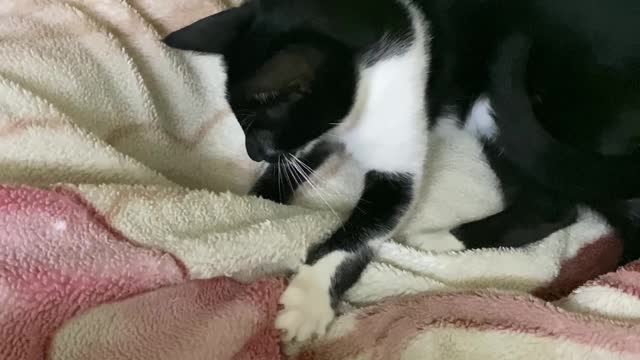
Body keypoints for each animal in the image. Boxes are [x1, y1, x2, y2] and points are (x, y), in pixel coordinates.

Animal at [165, 0, 640, 342]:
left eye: (259, 129)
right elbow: (291, 170)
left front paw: (310, 297)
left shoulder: (396, 157)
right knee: (552, 207)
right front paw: (251, 205)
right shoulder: (322, 133)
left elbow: (362, 228)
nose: (253, 153)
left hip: (525, 117)